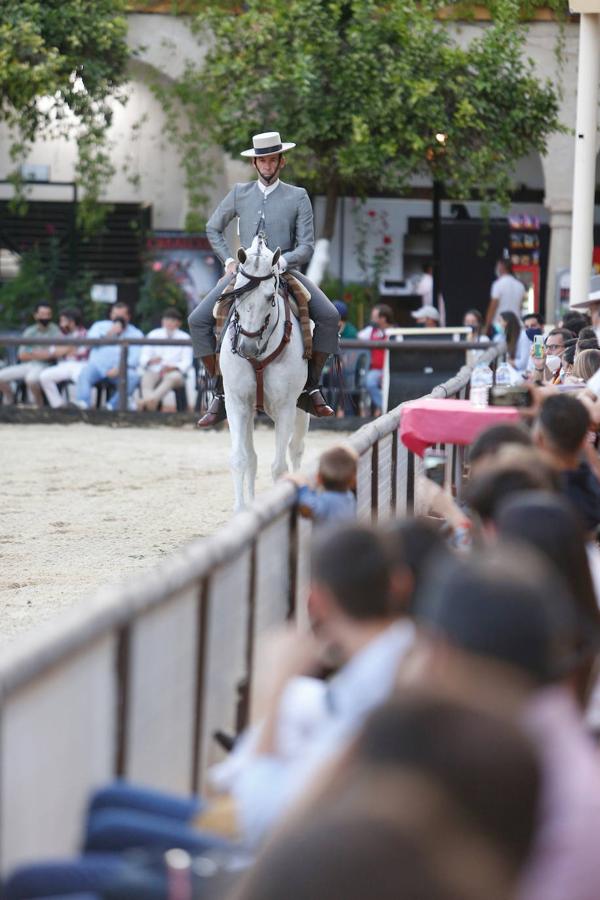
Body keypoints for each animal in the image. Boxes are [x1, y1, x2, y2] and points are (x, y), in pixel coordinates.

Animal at [221, 236, 314, 510]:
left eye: (270, 296)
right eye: (237, 294)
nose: (247, 347)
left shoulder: (285, 407)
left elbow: (279, 467)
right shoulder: (237, 403)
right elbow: (240, 459)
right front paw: (242, 510)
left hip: (300, 411)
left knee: (296, 449)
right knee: (252, 457)